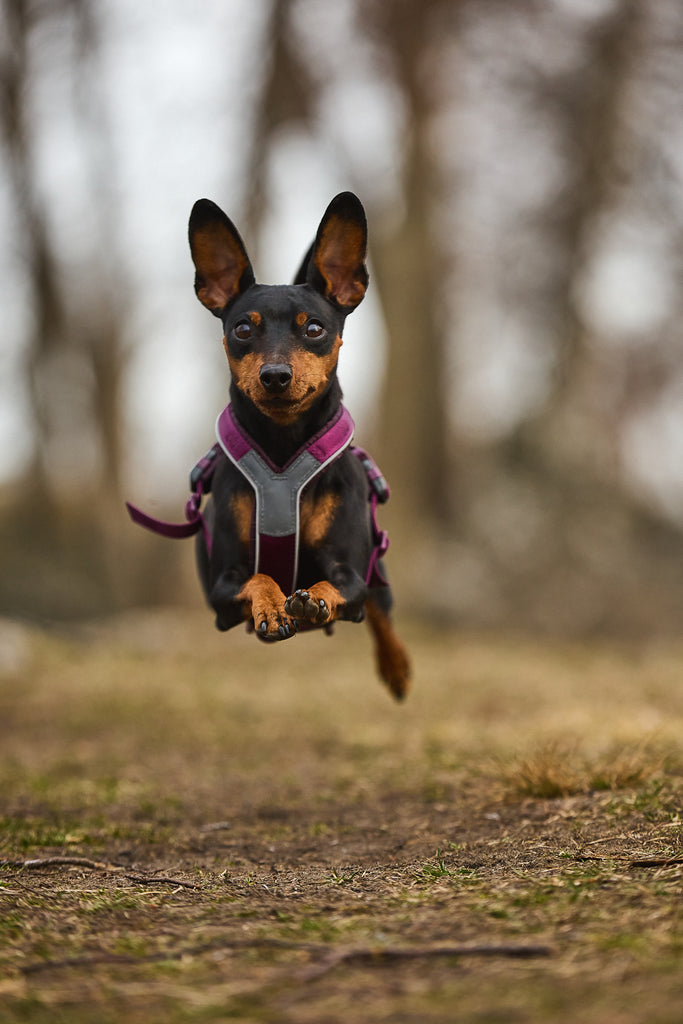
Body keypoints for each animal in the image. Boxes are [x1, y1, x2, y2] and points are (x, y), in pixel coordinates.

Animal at [129, 191, 411, 700]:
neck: (282, 448)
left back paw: (395, 667)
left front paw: (312, 602)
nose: (275, 376)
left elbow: (337, 588)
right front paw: (276, 606)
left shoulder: (350, 574)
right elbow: (259, 576)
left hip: (377, 570)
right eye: (243, 329)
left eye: (314, 328)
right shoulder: (222, 588)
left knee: (382, 610)